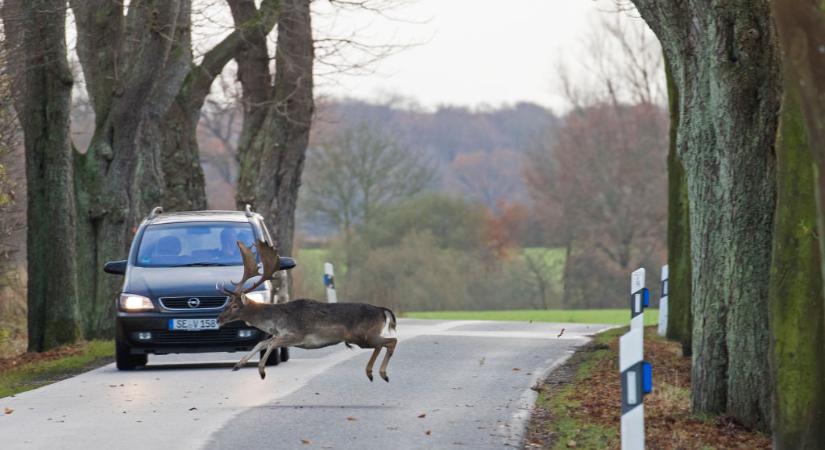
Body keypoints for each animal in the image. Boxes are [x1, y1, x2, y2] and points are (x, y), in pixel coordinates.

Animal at [217, 241, 398, 382]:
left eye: (235, 306)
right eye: (229, 303)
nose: (219, 319)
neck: (276, 321)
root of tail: (382, 311)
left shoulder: (297, 335)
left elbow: (271, 343)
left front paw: (261, 370)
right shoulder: (281, 335)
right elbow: (262, 343)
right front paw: (237, 365)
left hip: (364, 335)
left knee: (391, 341)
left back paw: (382, 374)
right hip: (364, 338)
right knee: (382, 344)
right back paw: (371, 373)